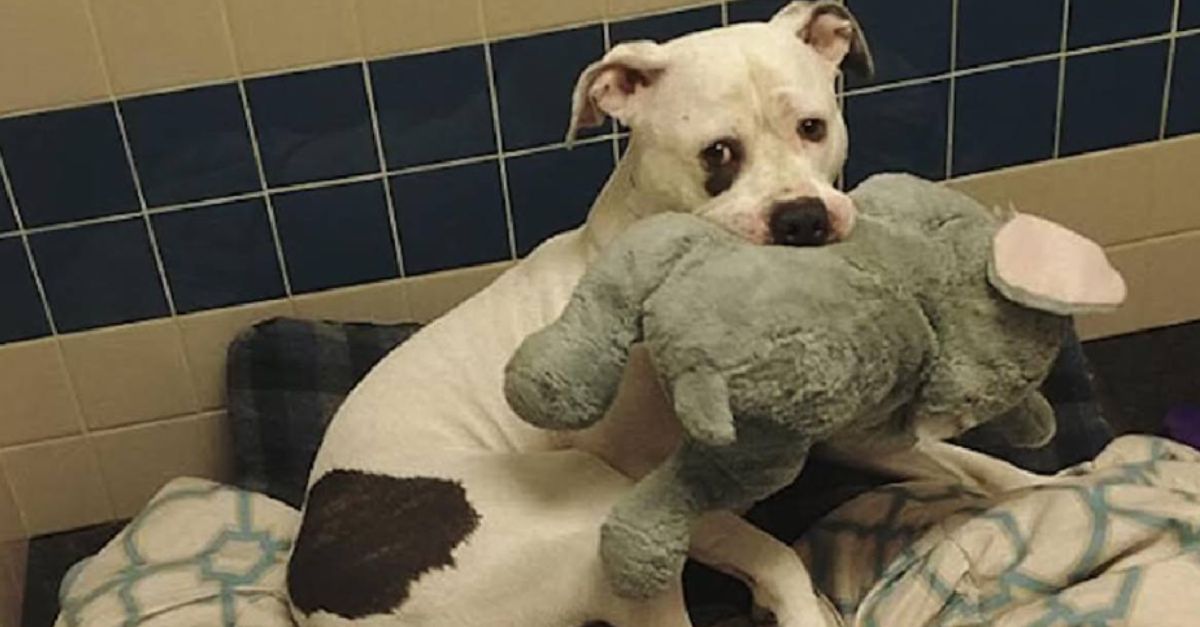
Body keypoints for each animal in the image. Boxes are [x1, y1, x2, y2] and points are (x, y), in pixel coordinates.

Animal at [284, 3, 878, 619]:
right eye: (717, 152)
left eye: (812, 127)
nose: (802, 219)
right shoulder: (666, 494)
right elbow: (773, 555)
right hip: (597, 512)